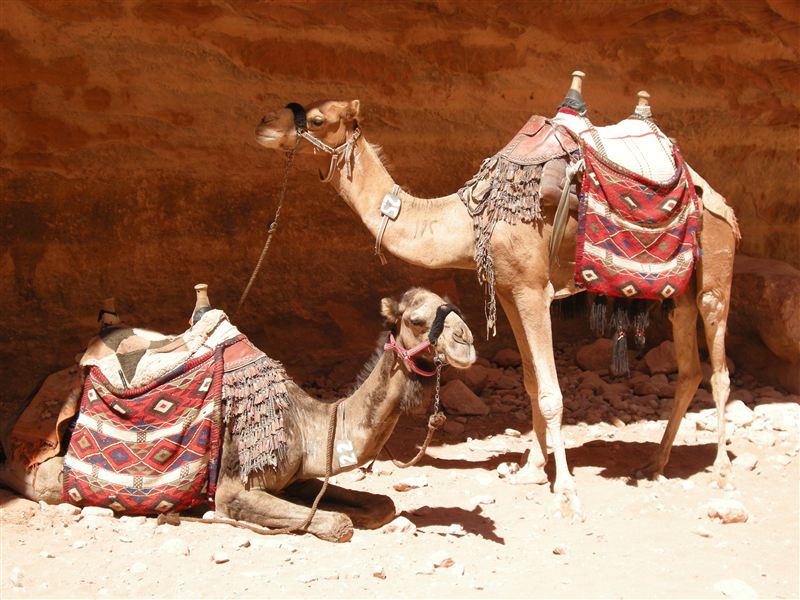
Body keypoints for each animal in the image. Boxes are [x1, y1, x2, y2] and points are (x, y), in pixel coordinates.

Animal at [0, 287, 477, 542]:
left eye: (450, 304)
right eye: (416, 320)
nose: (467, 340)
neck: (311, 424)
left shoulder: (299, 476)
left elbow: (382, 504)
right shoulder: (234, 487)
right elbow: (338, 523)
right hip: (49, 466)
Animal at [254, 93, 738, 519]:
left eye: (318, 119)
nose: (263, 125)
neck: (471, 219)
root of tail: (714, 195)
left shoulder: (533, 289)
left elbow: (551, 392)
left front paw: (566, 493)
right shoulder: (508, 290)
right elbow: (530, 383)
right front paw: (531, 469)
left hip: (714, 272)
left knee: (718, 371)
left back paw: (721, 471)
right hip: (680, 295)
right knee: (689, 370)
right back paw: (654, 464)